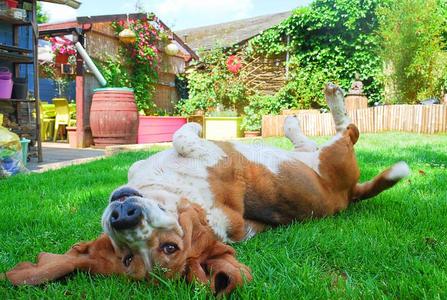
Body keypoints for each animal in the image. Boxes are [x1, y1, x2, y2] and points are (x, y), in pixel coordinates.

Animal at [5, 84, 412, 296]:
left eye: (170, 247)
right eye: (128, 257)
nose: (124, 215)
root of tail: (350, 194)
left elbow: (182, 136)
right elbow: (184, 136)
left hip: (329, 154)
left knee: (340, 132)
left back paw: (311, 112)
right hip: (330, 157)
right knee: (337, 134)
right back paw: (308, 114)